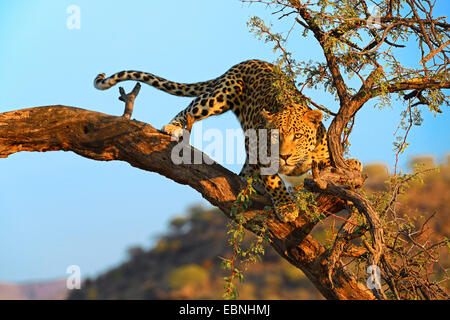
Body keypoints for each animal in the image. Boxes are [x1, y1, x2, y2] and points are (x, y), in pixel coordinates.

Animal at [94, 58, 362, 221]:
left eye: (297, 136)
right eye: (274, 135)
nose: (284, 156)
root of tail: (248, 61)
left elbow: (333, 167)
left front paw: (352, 166)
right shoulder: (260, 152)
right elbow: (274, 180)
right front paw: (286, 207)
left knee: (244, 171)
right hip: (222, 94)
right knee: (192, 107)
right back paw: (173, 126)